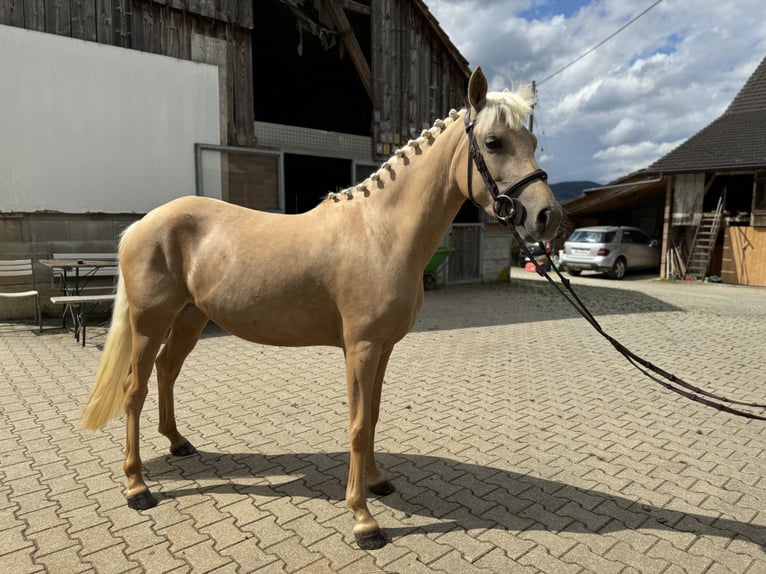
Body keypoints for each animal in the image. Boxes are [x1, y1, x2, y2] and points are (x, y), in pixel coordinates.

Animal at [82, 66, 564, 548]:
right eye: (493, 142)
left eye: (532, 141)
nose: (548, 217)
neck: (380, 232)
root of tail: (141, 225)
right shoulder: (361, 348)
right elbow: (357, 425)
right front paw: (363, 519)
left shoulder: (384, 348)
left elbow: (373, 417)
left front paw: (377, 481)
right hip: (150, 323)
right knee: (134, 389)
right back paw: (137, 486)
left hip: (189, 318)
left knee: (166, 372)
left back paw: (178, 443)